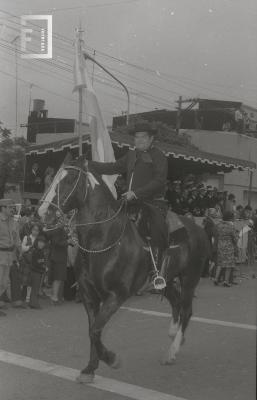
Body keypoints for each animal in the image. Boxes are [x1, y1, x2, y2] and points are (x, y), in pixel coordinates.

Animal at [38, 155, 210, 382]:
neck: (104, 239)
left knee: (186, 310)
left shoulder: (116, 295)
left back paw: (172, 351)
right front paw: (89, 369)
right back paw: (173, 334)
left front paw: (112, 359)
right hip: (165, 280)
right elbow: (92, 330)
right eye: (54, 176)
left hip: (190, 278)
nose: (43, 213)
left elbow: (95, 330)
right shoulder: (88, 295)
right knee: (175, 302)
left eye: (69, 179)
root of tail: (198, 228)